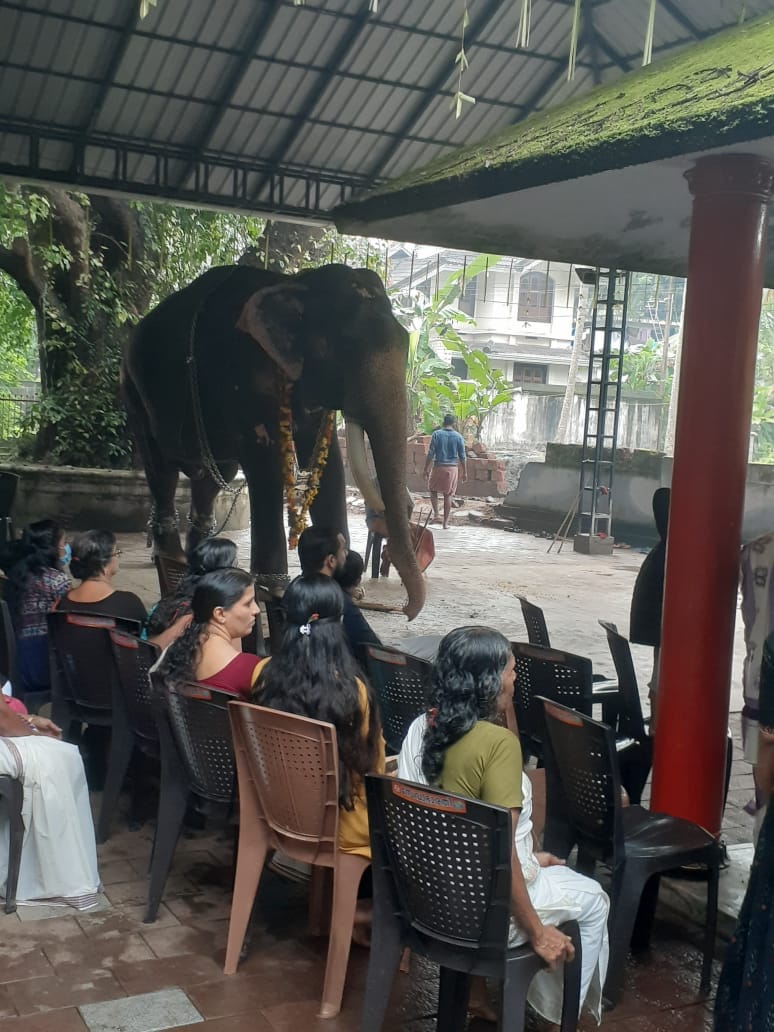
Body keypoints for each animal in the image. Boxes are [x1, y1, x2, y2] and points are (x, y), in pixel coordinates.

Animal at [121, 266, 427, 619]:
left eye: (406, 341)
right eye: (347, 348)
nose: (405, 610)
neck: (295, 282)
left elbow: (331, 469)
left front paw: (346, 586)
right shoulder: (242, 375)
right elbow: (264, 463)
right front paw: (273, 589)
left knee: (214, 476)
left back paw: (199, 559)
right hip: (133, 392)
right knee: (161, 468)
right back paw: (172, 557)